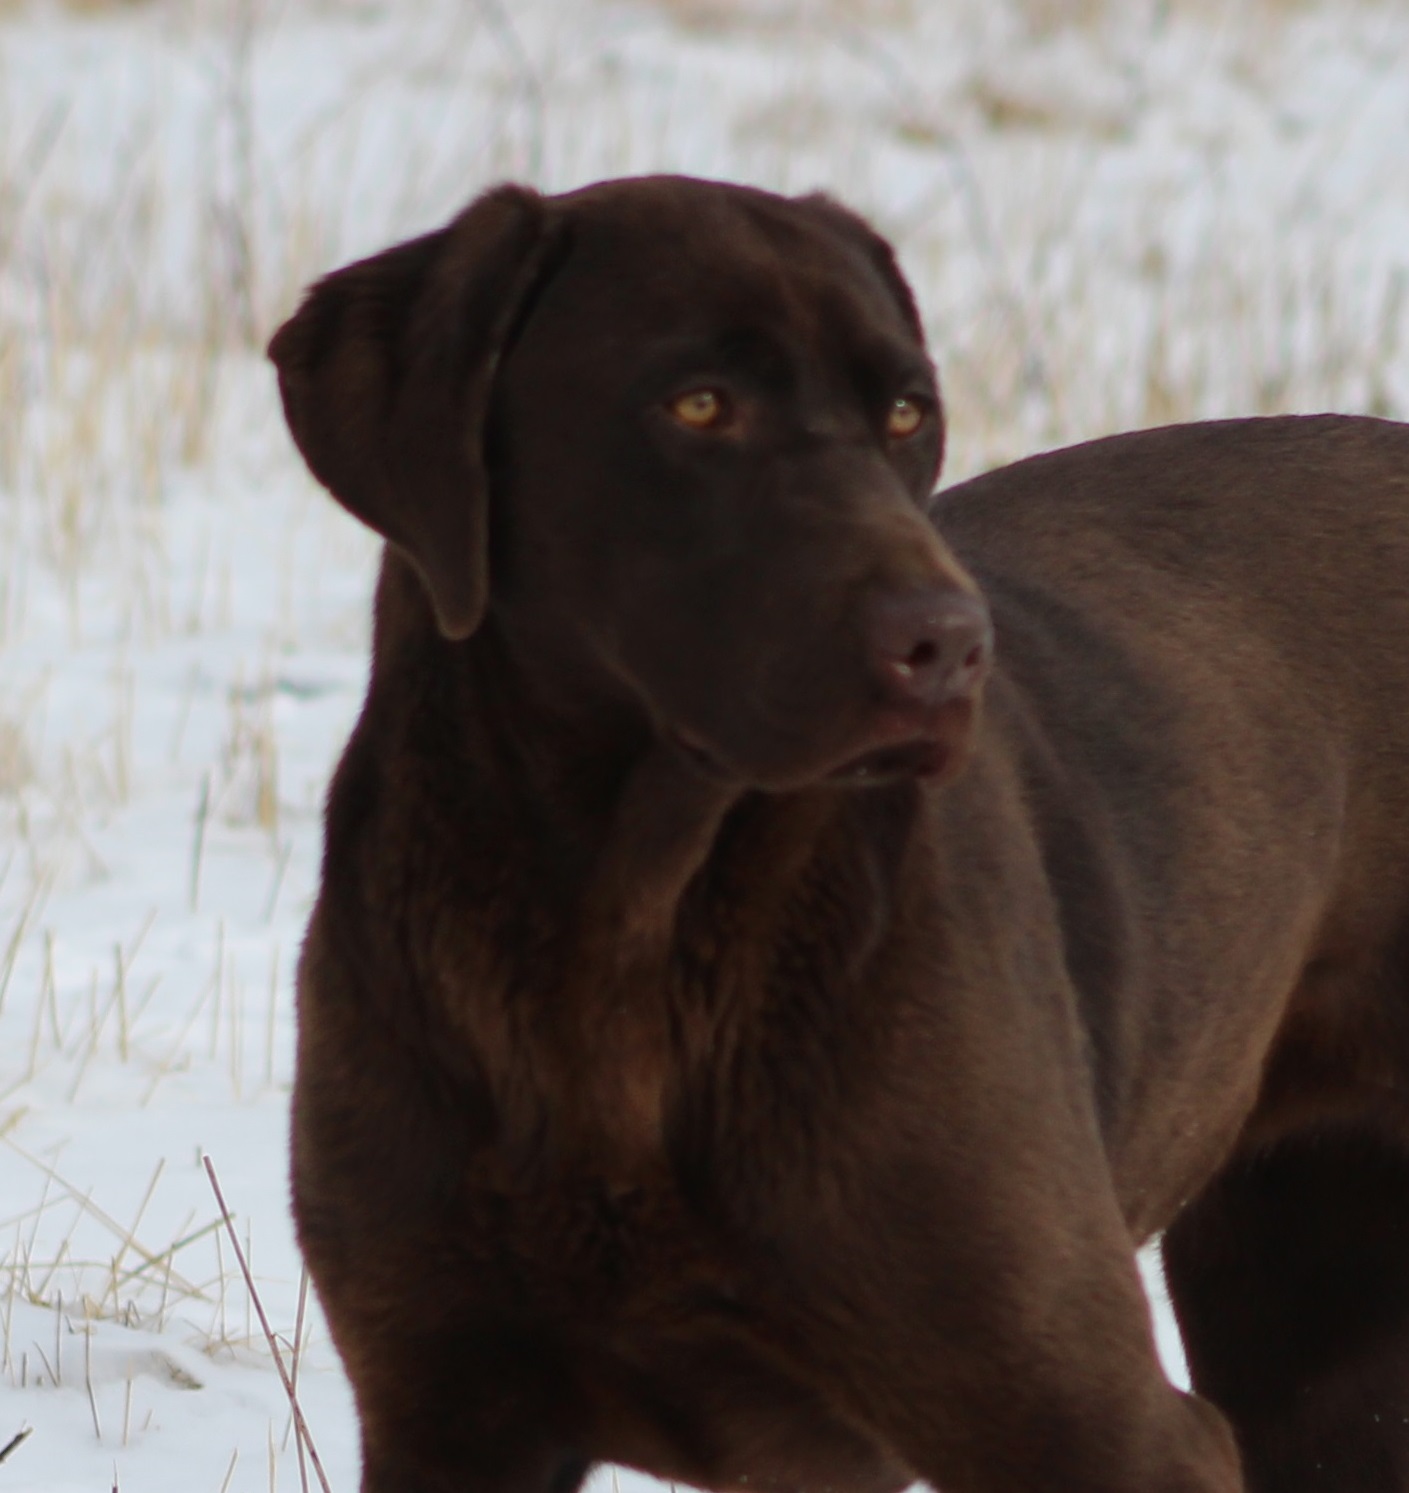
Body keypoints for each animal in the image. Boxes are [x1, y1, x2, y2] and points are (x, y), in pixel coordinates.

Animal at [270, 177, 1409, 1493]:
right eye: (698, 403)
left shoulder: (1093, 1418)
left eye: (906, 412)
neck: (625, 943)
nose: (949, 646)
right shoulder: (447, 1408)